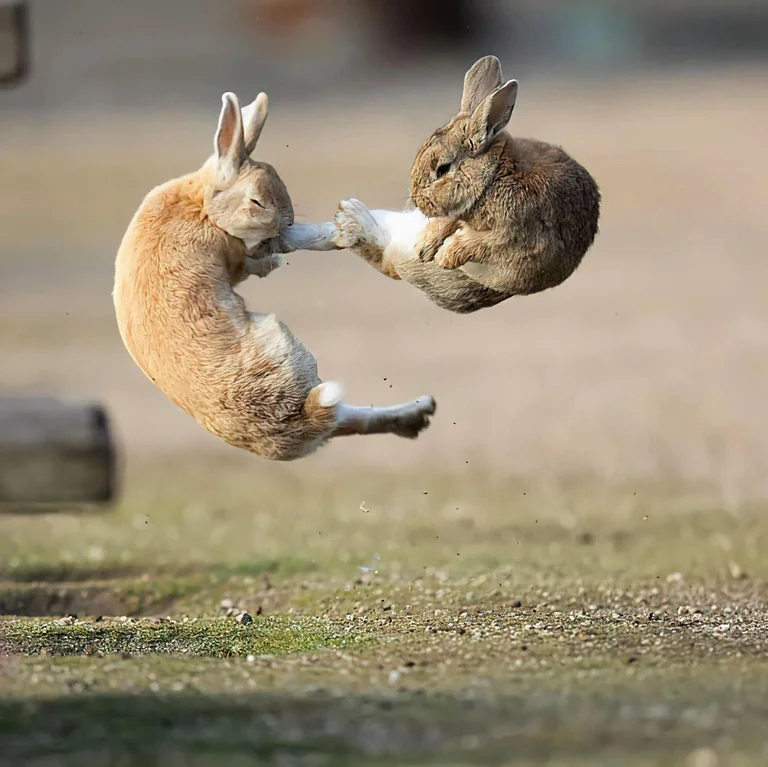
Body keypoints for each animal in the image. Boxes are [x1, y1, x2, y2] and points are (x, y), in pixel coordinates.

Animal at [113, 91, 436, 462]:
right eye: (257, 202)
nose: (287, 222)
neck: (203, 207)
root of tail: (303, 419)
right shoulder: (236, 254)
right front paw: (319, 240)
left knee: (351, 420)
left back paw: (420, 411)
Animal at [330, 55, 601, 314]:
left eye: (442, 169)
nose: (417, 202)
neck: (493, 177)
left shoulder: (509, 235)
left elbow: (476, 243)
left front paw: (445, 256)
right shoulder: (456, 212)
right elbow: (447, 224)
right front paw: (425, 246)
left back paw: (351, 220)